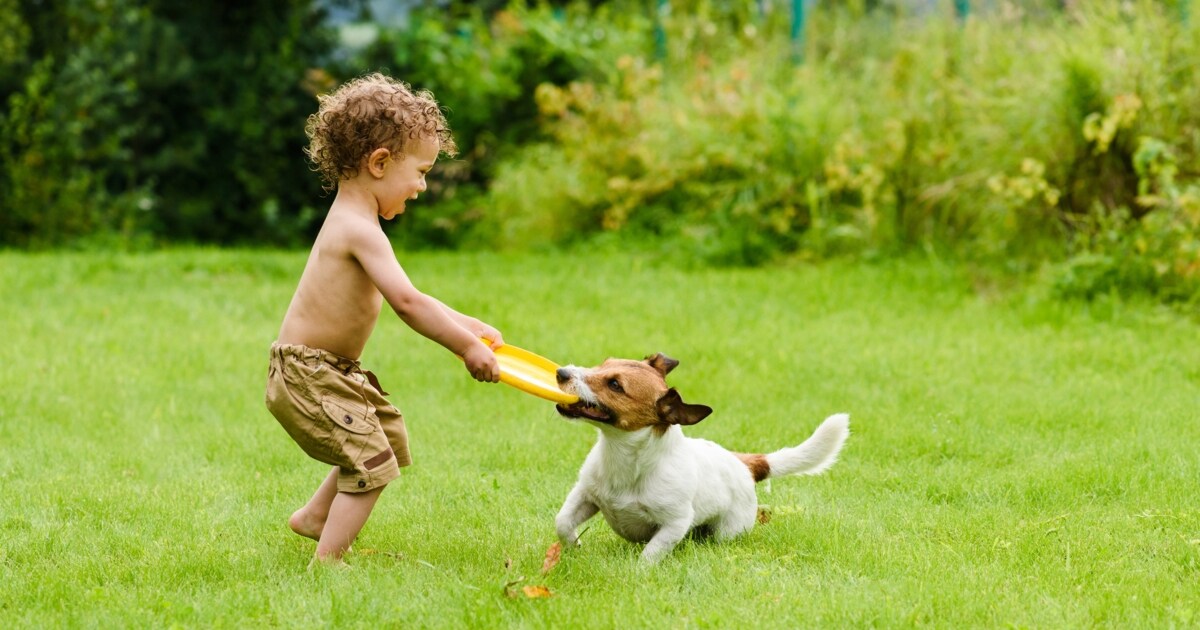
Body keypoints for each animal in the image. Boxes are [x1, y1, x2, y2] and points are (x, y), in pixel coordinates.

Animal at [554, 350, 854, 561]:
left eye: (615, 385)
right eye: (603, 363)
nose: (561, 372)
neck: (625, 459)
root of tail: (743, 462)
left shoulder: (675, 524)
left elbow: (651, 554)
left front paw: (638, 573)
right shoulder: (585, 495)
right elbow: (562, 522)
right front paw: (576, 546)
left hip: (729, 530)